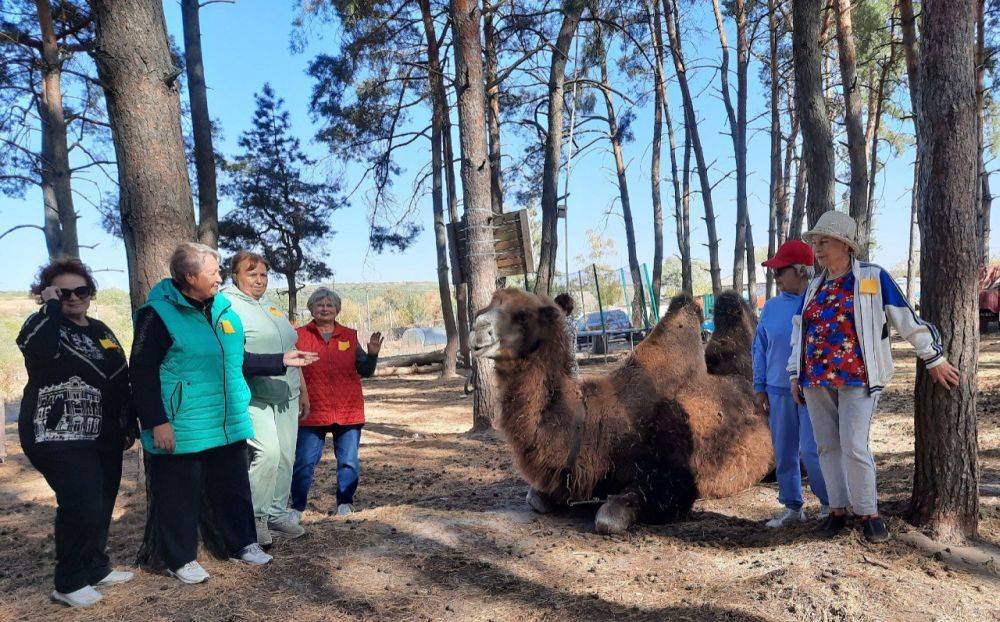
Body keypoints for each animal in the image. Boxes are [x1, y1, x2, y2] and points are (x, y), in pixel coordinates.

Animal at [470, 290, 772, 532]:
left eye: (523, 315)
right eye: (490, 303)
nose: (477, 329)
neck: (593, 424)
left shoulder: (675, 482)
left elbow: (608, 518)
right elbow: (534, 498)